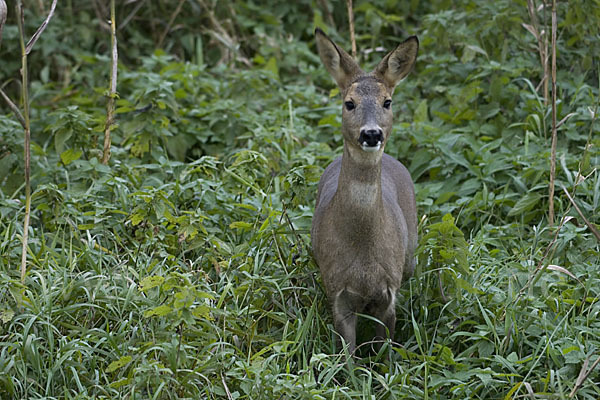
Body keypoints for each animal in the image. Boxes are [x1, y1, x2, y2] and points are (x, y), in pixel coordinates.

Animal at [310, 28, 418, 354]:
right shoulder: (337, 292)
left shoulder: (390, 290)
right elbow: (348, 355)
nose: (371, 133)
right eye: (349, 103)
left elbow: (385, 350)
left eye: (387, 102)